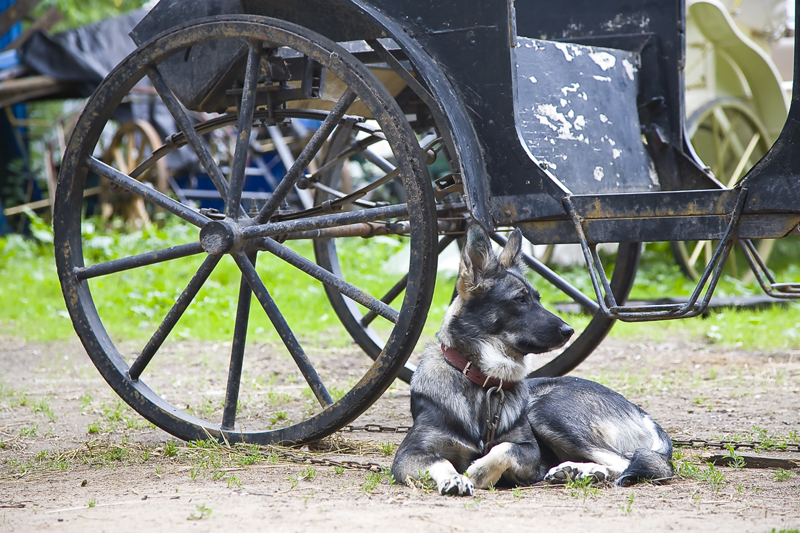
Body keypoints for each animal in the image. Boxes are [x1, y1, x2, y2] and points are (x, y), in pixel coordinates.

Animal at [390, 224, 672, 494]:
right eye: (520, 299)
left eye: (538, 299)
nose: (569, 331)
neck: (483, 382)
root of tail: (643, 415)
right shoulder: (408, 454)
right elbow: (440, 460)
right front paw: (455, 478)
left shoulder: (529, 452)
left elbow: (505, 449)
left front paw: (480, 471)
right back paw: (581, 471)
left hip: (546, 409)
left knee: (631, 462)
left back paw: (583, 470)